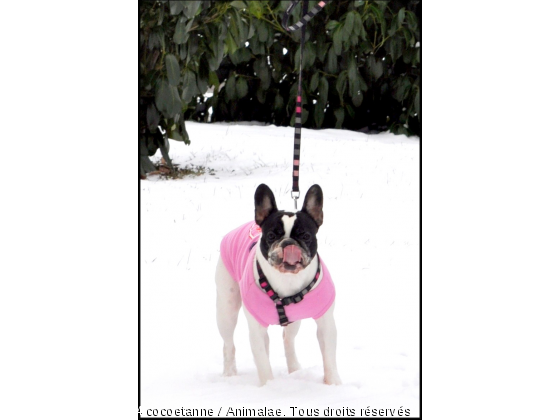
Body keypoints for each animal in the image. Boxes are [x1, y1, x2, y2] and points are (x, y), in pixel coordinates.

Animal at [215, 182, 342, 386]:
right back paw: (229, 374)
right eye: (272, 235)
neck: (288, 278)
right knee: (228, 343)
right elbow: (262, 361)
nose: (288, 243)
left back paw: (294, 369)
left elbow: (329, 357)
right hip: (226, 310)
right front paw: (269, 386)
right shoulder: (256, 329)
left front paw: (334, 384)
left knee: (288, 340)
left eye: (306, 236)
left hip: (295, 320)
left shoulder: (326, 323)